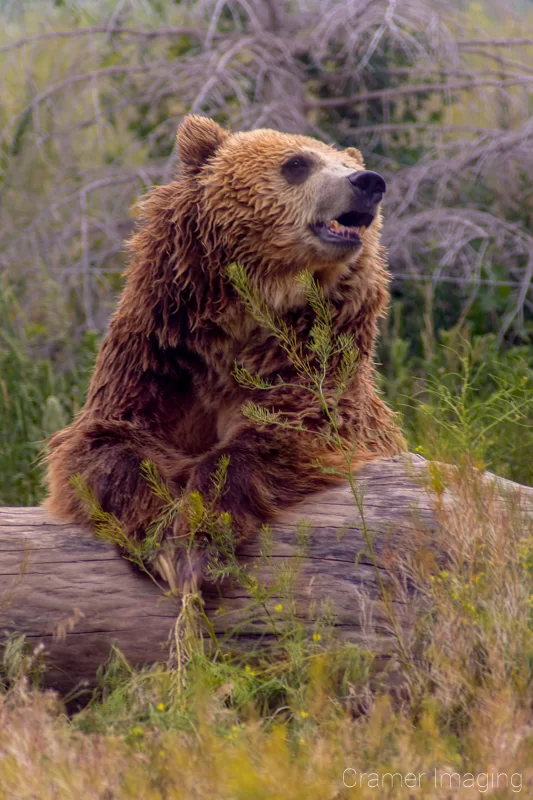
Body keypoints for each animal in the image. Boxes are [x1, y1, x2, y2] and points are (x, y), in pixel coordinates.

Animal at [44, 112, 404, 592]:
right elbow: (108, 440)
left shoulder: (310, 367)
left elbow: (285, 432)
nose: (368, 181)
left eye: (346, 162)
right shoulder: (159, 359)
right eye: (297, 163)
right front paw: (160, 538)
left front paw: (200, 543)